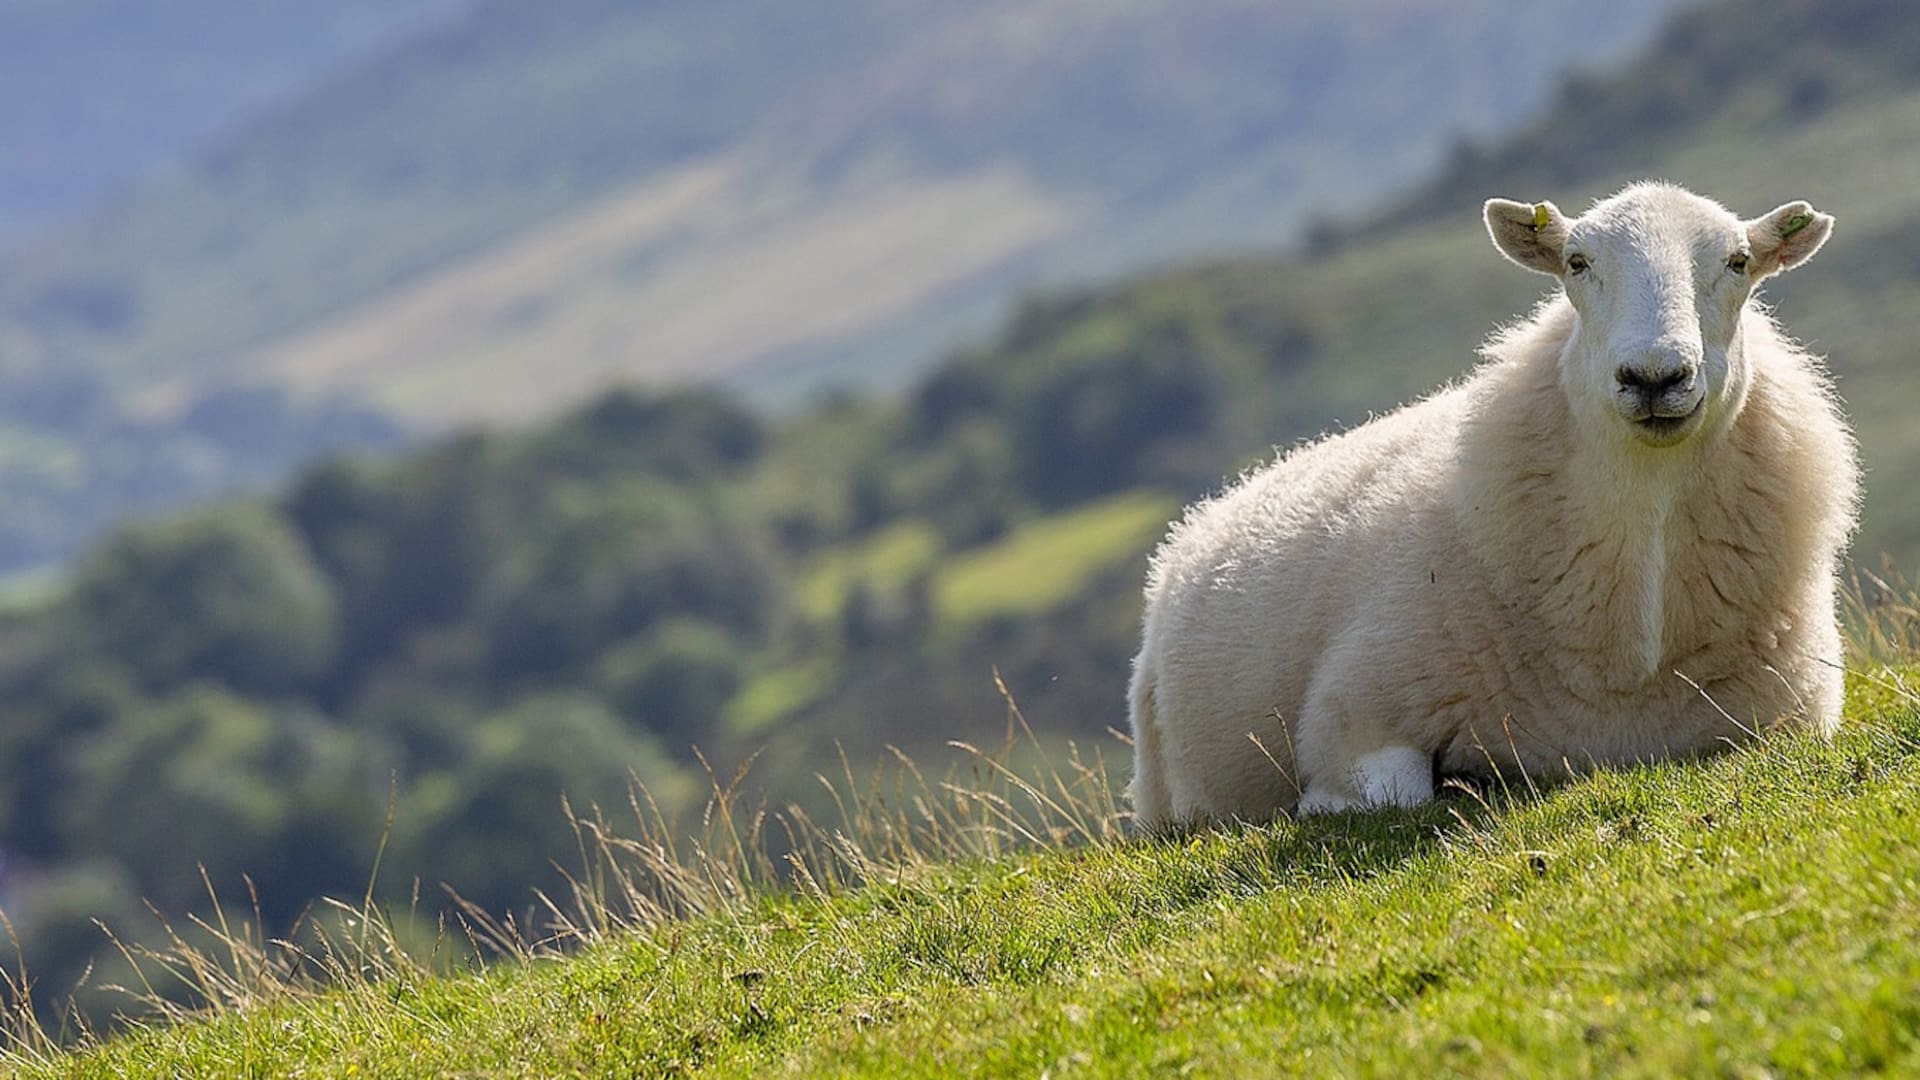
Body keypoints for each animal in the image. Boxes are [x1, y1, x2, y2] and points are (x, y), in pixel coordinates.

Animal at [1127, 182, 1858, 830]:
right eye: (1576, 262)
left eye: (1739, 262)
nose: (1655, 377)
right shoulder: (1355, 715)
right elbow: (1391, 794)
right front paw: (1327, 805)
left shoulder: (1794, 721)